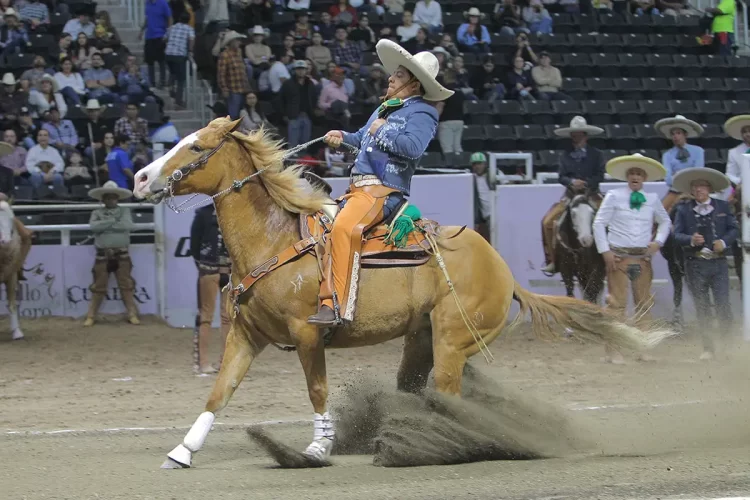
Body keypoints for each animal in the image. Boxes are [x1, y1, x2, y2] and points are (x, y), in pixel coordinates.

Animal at [134, 119, 676, 470]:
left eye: (195, 147)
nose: (141, 177)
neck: (276, 240)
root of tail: (502, 270)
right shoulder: (246, 336)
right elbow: (219, 391)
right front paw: (182, 452)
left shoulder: (308, 338)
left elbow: (317, 391)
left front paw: (315, 452)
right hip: (423, 341)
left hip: (452, 342)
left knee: (449, 397)